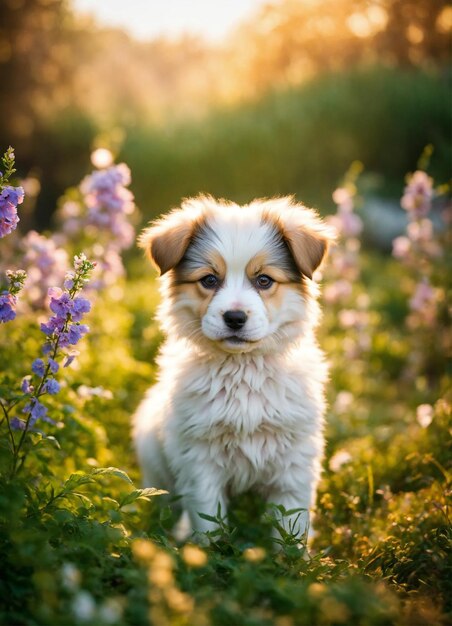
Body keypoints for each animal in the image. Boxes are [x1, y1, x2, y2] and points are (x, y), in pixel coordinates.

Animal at [132, 195, 334, 540]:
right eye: (209, 280)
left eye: (264, 280)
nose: (235, 318)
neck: (243, 369)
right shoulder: (199, 461)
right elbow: (209, 525)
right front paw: (206, 553)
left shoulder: (294, 462)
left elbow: (290, 529)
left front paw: (297, 556)